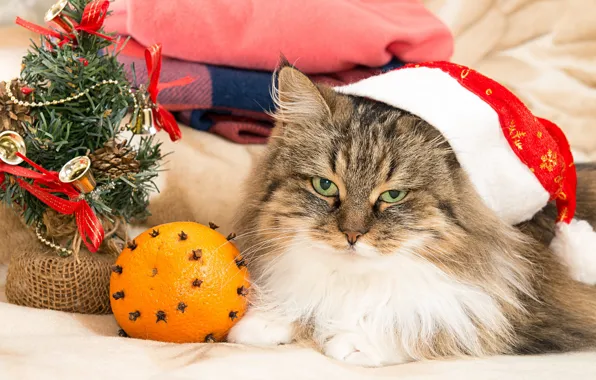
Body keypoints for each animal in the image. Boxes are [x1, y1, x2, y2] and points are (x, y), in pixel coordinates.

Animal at [226, 63, 596, 368]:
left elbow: (429, 327)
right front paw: (268, 319)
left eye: (393, 195)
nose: (352, 234)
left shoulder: (537, 314)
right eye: (325, 186)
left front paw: (357, 342)